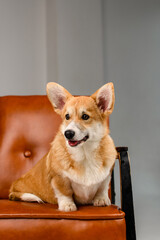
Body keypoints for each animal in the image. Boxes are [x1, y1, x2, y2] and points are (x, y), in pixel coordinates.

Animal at [9, 82, 116, 212]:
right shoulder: (58, 178)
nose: (68, 133)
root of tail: (13, 186)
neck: (84, 154)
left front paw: (101, 200)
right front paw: (67, 205)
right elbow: (64, 193)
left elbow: (102, 188)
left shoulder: (107, 175)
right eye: (67, 116)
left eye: (85, 116)